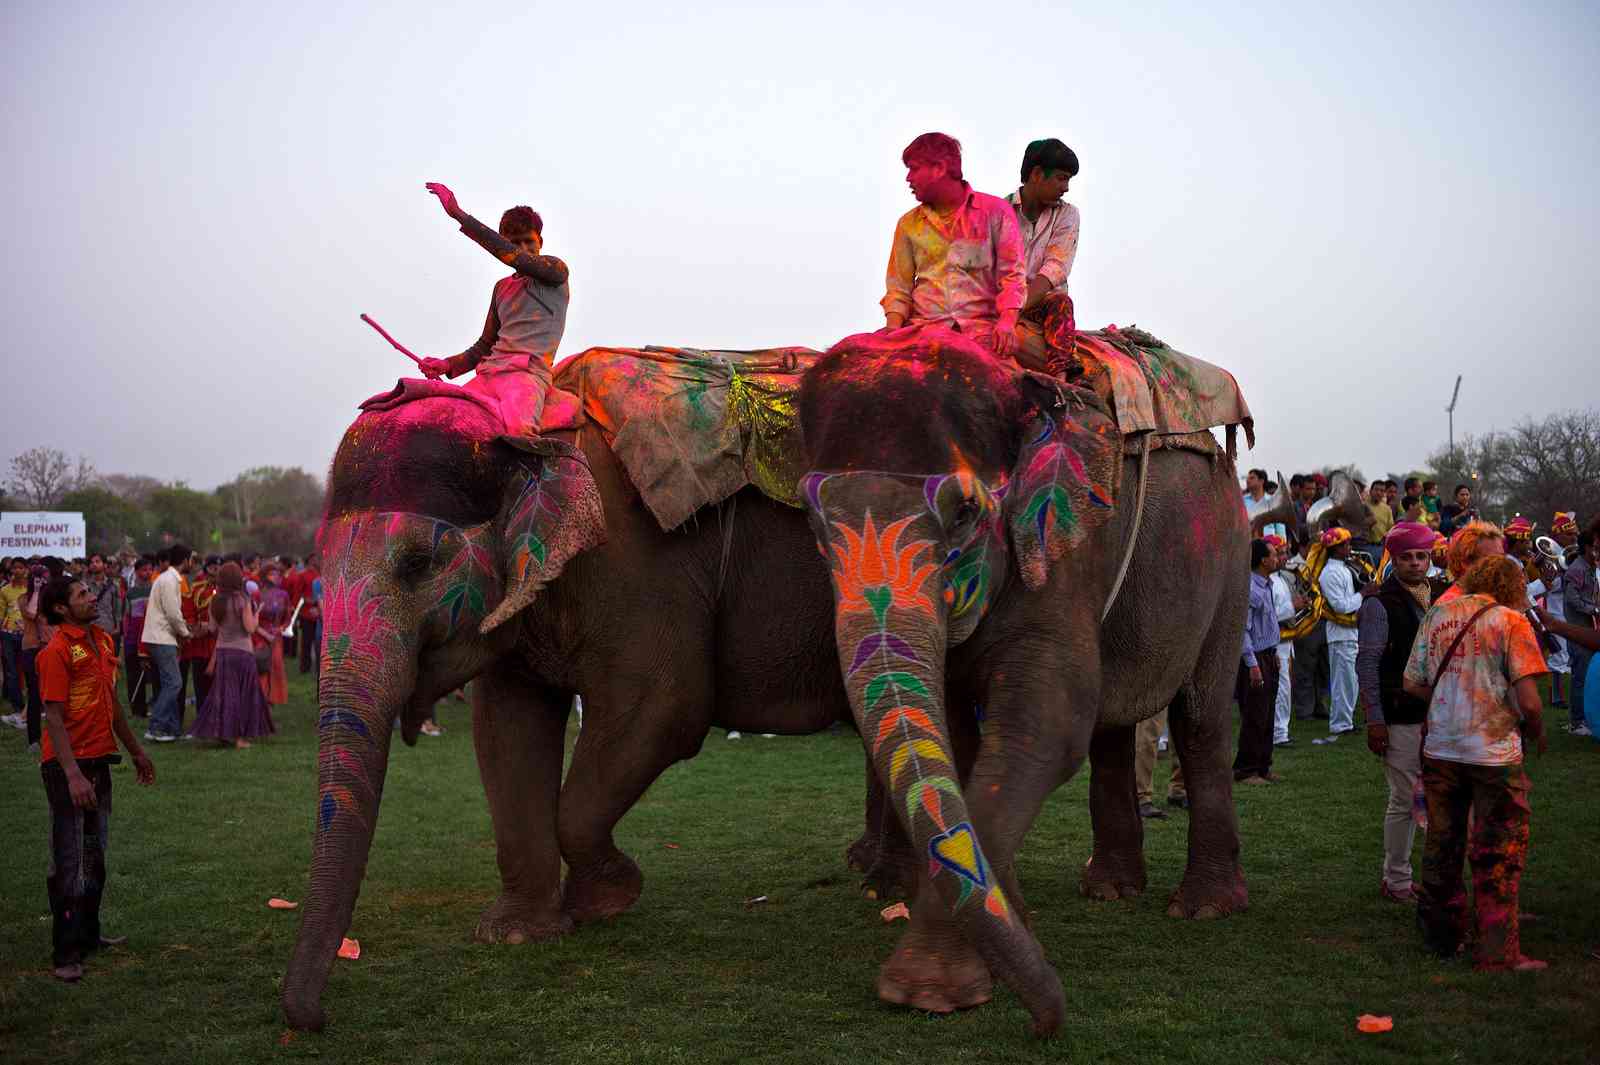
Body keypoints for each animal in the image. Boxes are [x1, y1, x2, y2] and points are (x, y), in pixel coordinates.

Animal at [276, 377, 857, 1023]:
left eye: (417, 564)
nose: (315, 1016)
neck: (526, 437)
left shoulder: (640, 566)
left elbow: (664, 707)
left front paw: (608, 899)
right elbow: (507, 730)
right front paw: (518, 935)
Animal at [800, 327, 1248, 1029]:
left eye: (963, 514)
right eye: (813, 523)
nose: (1052, 1018)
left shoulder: (1062, 550)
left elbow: (1044, 726)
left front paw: (929, 991)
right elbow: (963, 738)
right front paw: (1006, 947)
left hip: (1229, 556)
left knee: (1199, 717)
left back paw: (1202, 907)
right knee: (1111, 729)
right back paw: (1111, 890)